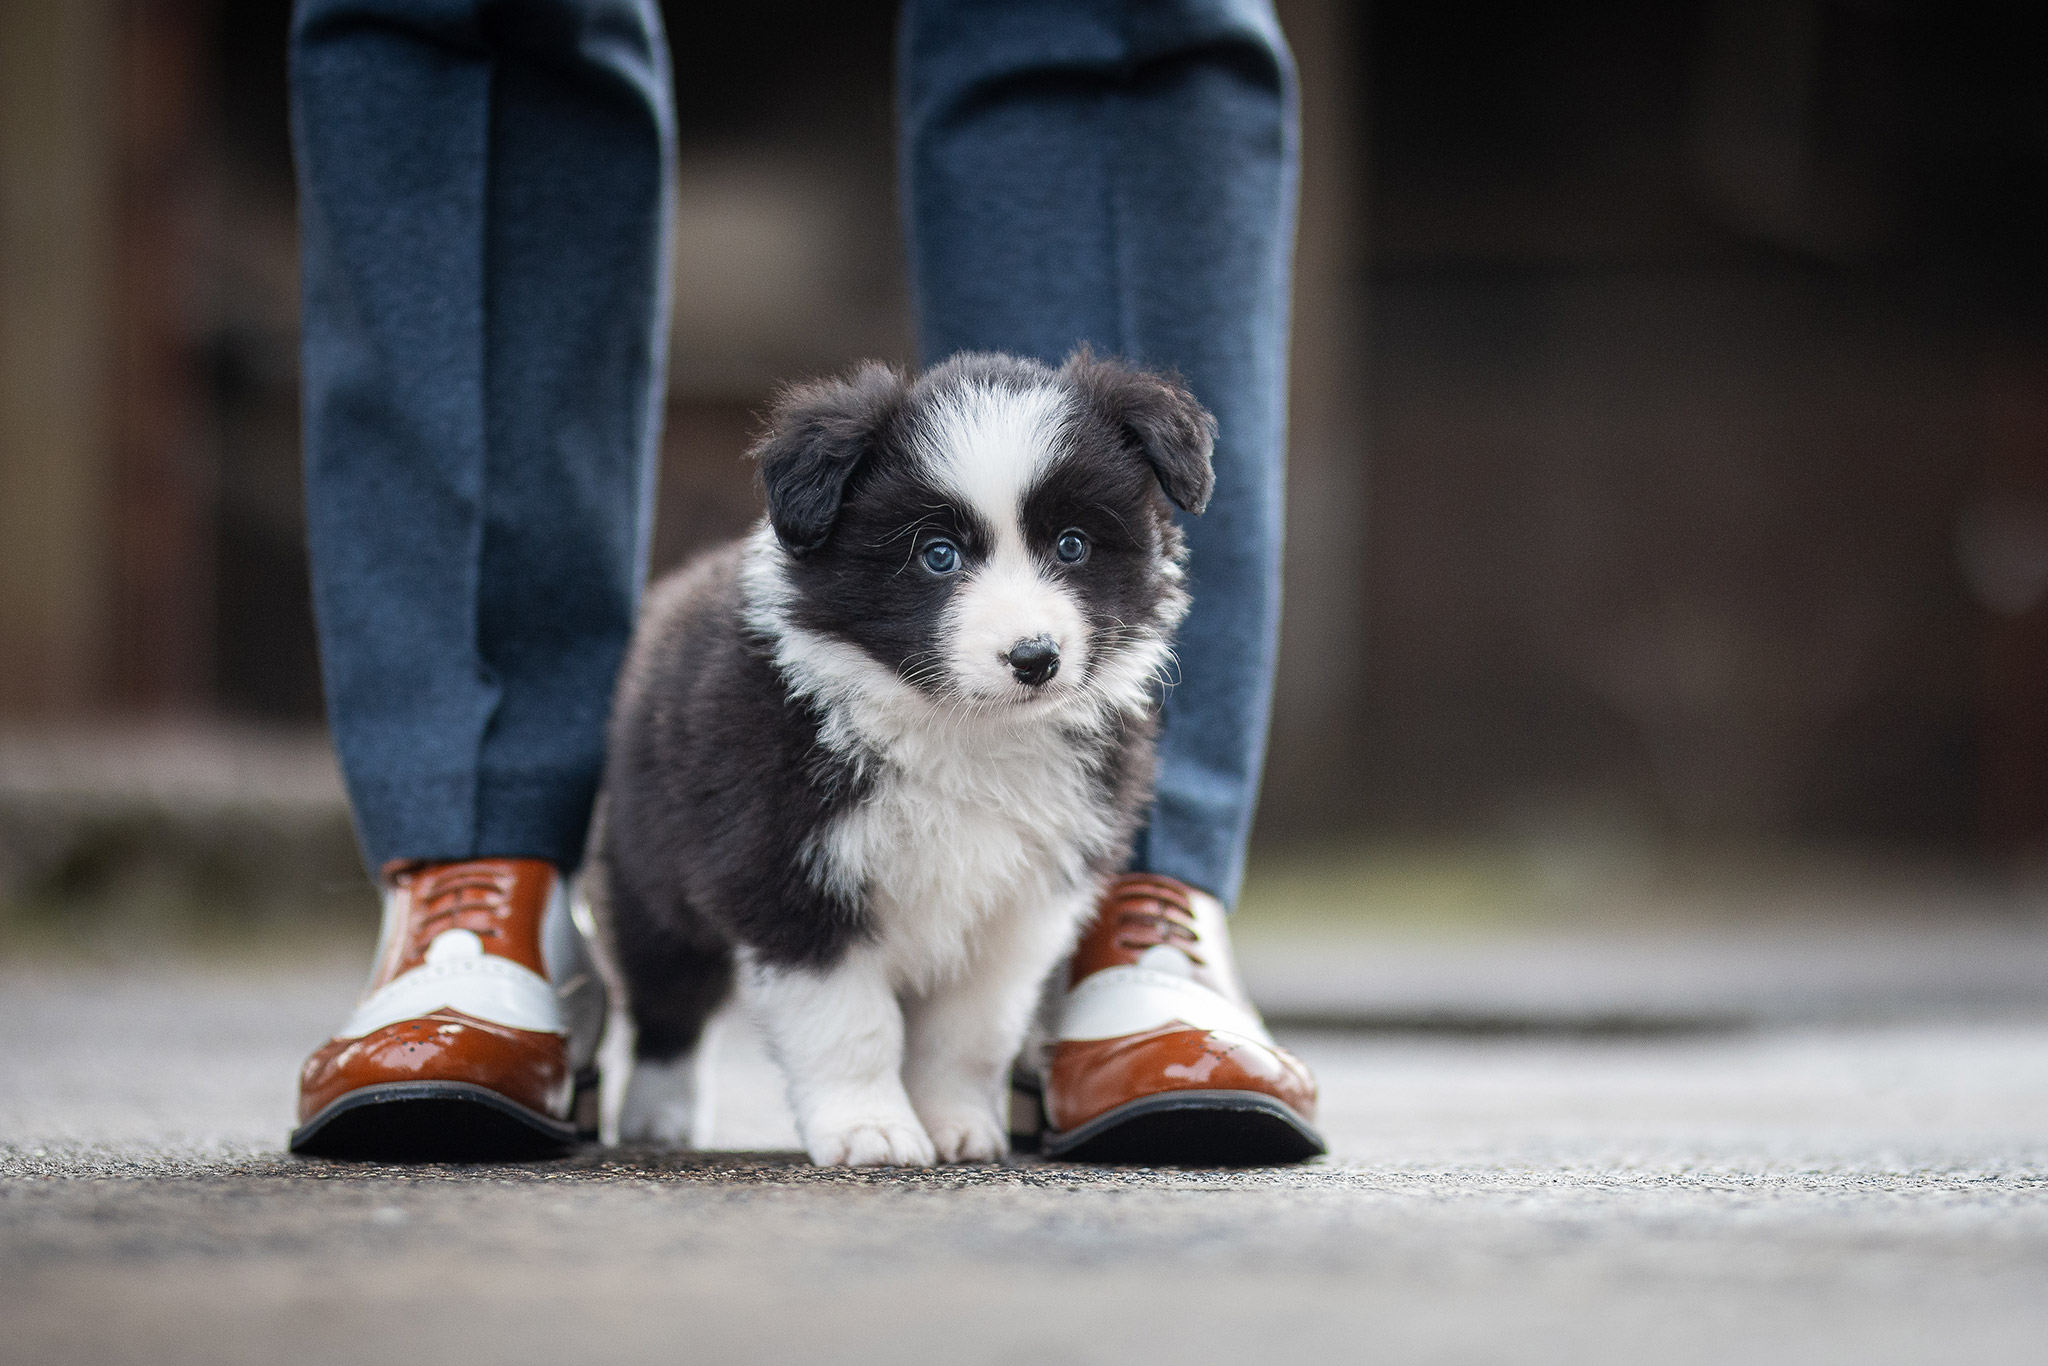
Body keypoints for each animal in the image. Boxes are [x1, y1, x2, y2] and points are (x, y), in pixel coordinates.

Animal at [585, 350, 1204, 1163]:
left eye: (1072, 545)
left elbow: (968, 1032)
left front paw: (955, 1125)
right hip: (650, 875)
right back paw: (657, 1116)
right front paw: (870, 1130)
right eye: (938, 556)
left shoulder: (1022, 907)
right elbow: (850, 1025)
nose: (1034, 657)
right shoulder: (790, 875)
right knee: (668, 998)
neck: (962, 732)